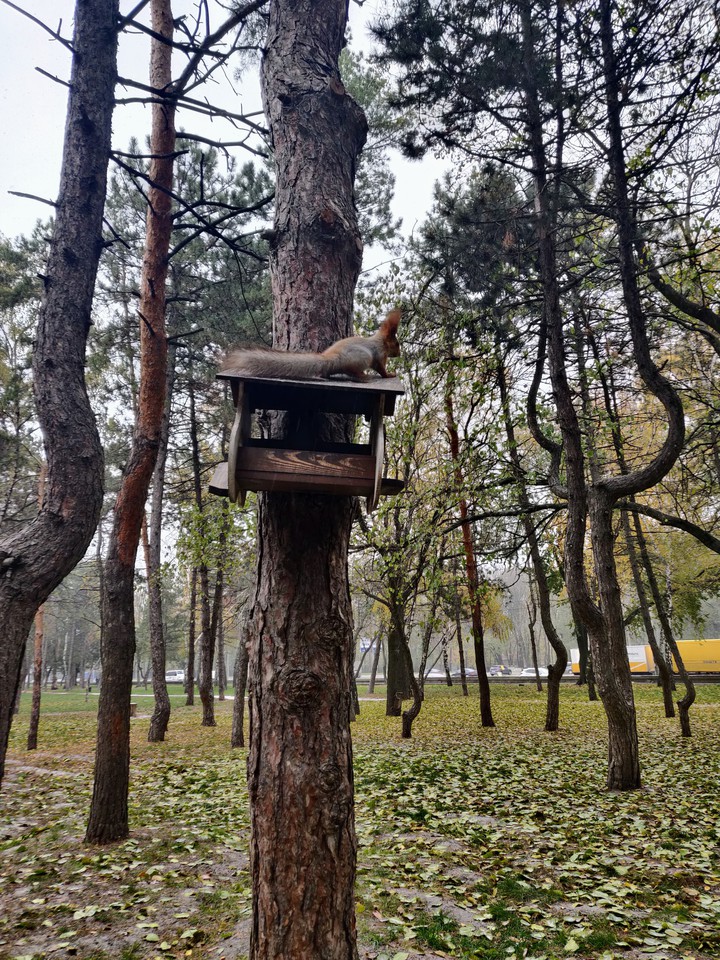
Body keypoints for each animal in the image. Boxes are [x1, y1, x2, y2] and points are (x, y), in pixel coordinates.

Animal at [220, 309, 401, 382]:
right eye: (396, 344)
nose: (399, 354)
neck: (380, 342)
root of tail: (330, 358)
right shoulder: (379, 355)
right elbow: (381, 369)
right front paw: (390, 375)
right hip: (362, 357)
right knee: (351, 371)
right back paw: (363, 376)